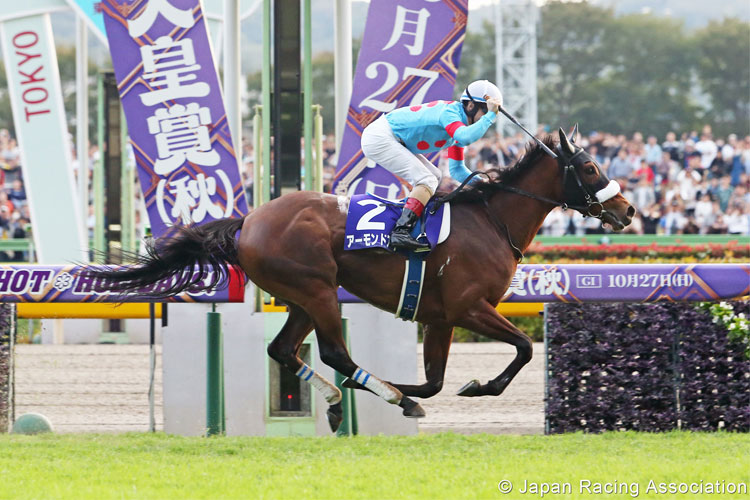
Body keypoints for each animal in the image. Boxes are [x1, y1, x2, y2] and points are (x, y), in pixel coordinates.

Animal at [91, 127, 636, 432]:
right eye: (590, 166)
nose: (628, 210)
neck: (490, 221)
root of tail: (249, 220)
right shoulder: (468, 307)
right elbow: (522, 349)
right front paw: (473, 386)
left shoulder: (440, 317)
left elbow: (435, 381)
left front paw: (425, 388)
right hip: (317, 289)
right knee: (333, 353)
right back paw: (382, 395)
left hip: (301, 297)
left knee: (283, 349)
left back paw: (341, 402)